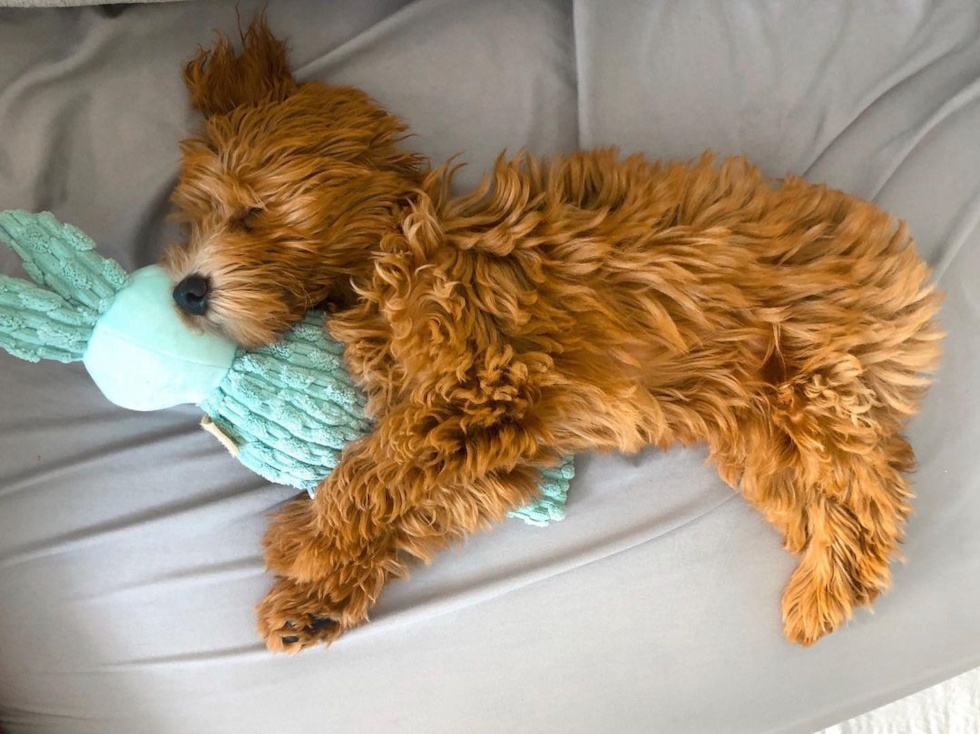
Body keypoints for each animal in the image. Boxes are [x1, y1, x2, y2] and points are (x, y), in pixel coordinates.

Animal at [161, 17, 940, 652]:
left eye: (252, 212)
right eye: (194, 219)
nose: (185, 290)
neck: (393, 247)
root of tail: (902, 273)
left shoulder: (480, 386)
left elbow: (372, 471)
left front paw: (311, 540)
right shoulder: (495, 445)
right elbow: (420, 504)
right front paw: (317, 598)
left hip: (816, 383)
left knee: (869, 492)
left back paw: (828, 590)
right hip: (757, 432)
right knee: (828, 487)